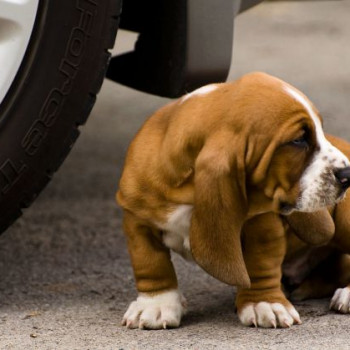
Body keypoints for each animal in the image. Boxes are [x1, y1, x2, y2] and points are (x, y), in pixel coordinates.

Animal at [116, 72, 350, 330]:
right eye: (298, 140)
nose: (348, 174)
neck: (188, 191)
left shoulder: (262, 223)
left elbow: (260, 263)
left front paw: (264, 302)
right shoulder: (137, 220)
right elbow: (151, 263)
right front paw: (156, 304)